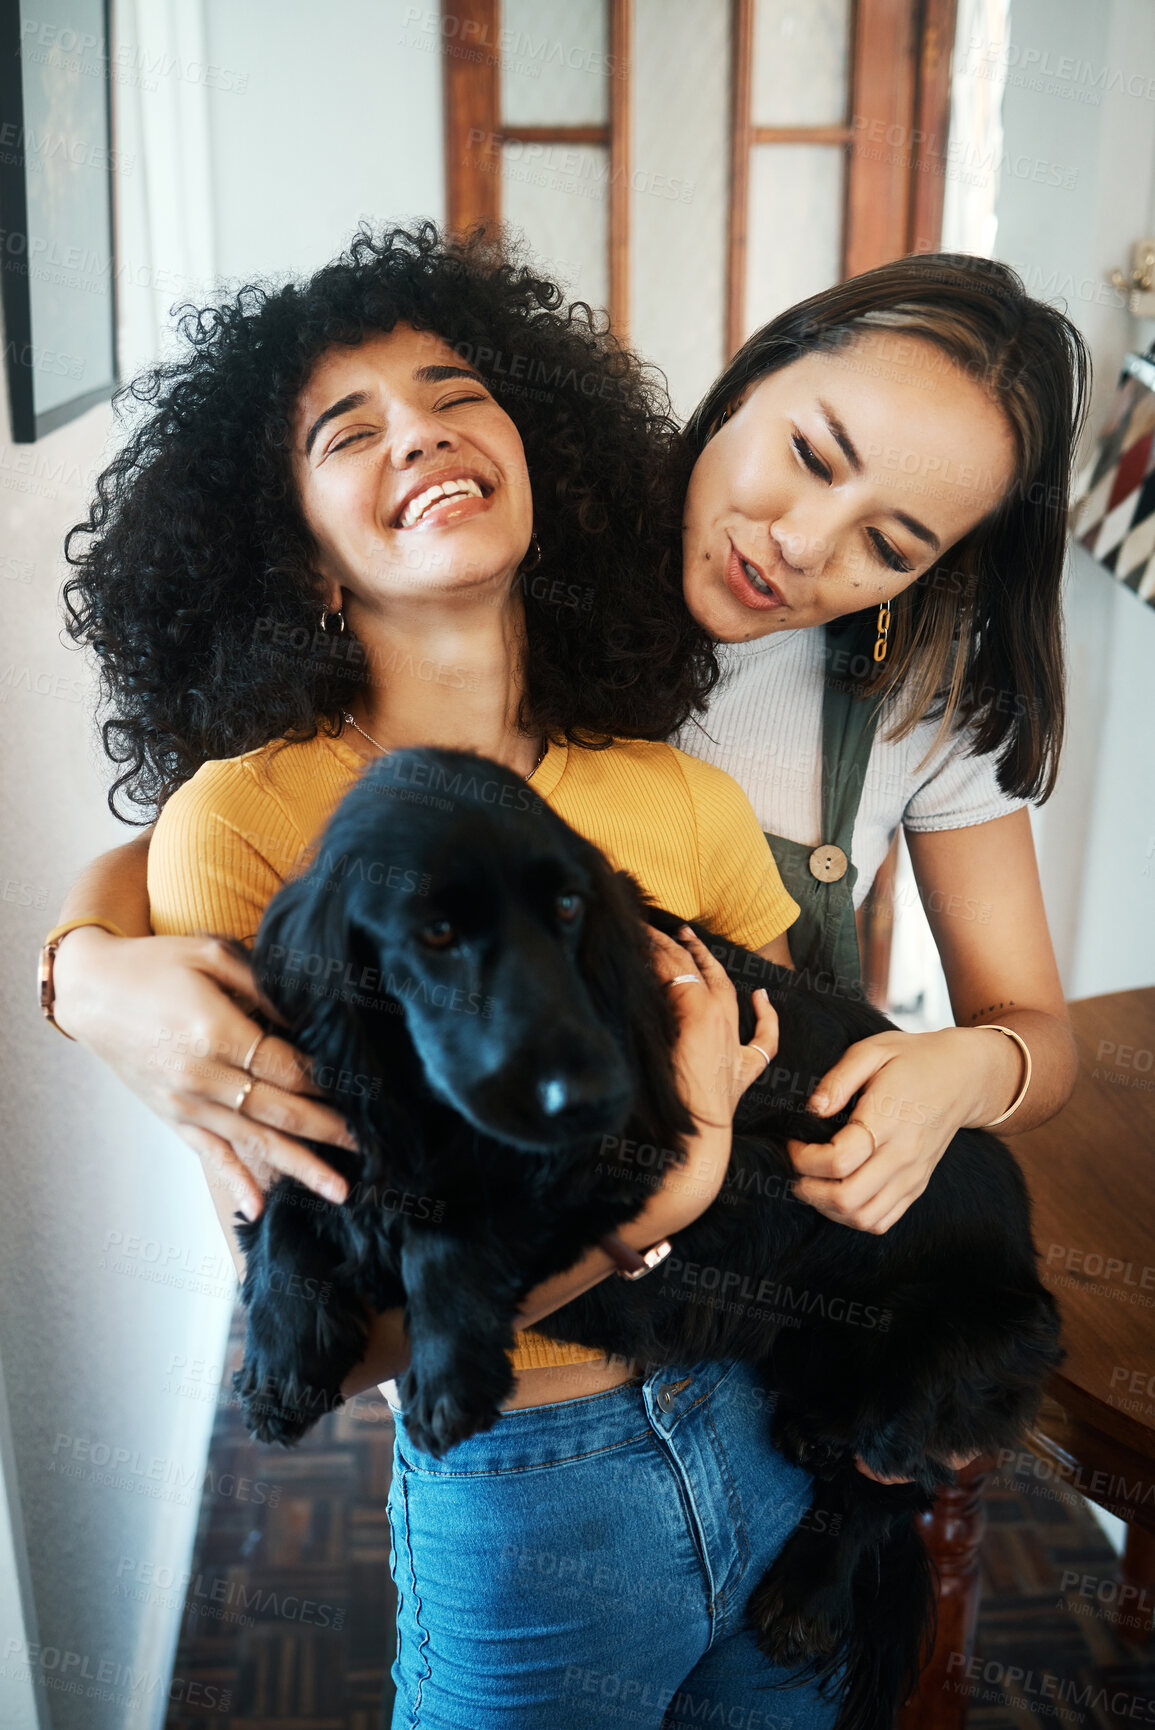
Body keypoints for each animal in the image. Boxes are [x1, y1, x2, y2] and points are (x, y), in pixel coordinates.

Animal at [236, 747, 1065, 1730]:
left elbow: (452, 1221)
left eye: (567, 910)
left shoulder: (667, 1167)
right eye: (432, 932)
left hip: (939, 1361)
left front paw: (445, 1370)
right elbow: (295, 1196)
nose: (583, 1085)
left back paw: (805, 1597)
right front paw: (282, 1360)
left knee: (891, 1481)